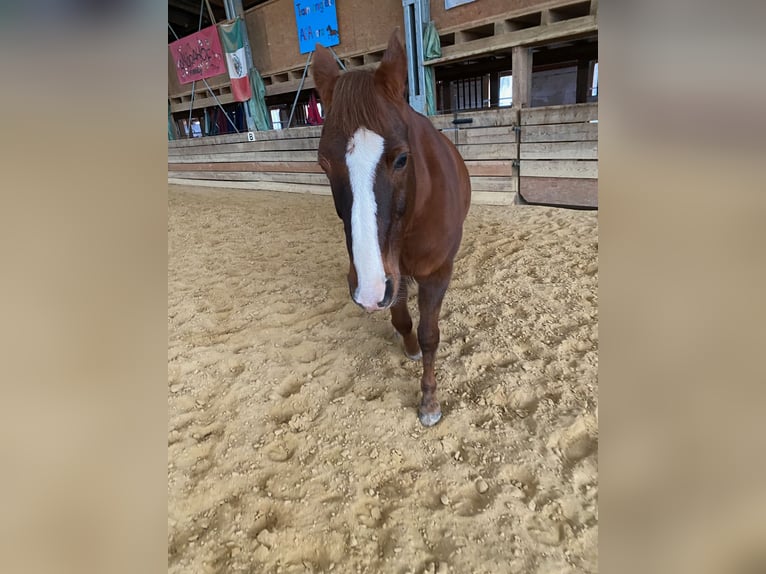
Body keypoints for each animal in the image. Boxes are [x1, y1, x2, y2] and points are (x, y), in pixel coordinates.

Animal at [314, 32, 474, 428]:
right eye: (323, 163)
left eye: (402, 158)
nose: (369, 290)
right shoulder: (393, 273)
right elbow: (402, 320)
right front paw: (411, 349)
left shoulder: (435, 273)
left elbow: (430, 335)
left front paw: (429, 401)